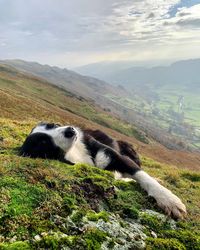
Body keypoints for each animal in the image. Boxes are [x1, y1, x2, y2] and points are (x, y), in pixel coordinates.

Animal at [19, 122, 187, 219]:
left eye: (53, 125)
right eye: (43, 142)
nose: (70, 130)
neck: (75, 152)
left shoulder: (114, 156)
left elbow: (142, 175)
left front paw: (168, 199)